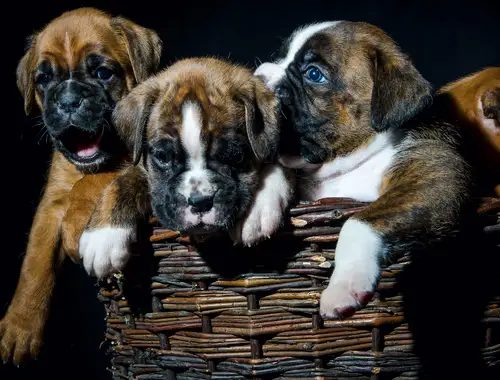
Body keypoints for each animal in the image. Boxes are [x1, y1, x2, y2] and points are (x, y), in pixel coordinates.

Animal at [0, 7, 160, 366]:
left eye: (102, 73)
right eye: (44, 80)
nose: (69, 100)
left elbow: (91, 182)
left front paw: (75, 230)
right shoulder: (50, 205)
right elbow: (34, 266)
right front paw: (21, 326)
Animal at [77, 57, 292, 270]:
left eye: (235, 155)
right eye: (163, 157)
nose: (200, 202)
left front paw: (258, 208)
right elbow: (123, 182)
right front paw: (104, 235)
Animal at [256, 20, 470, 318]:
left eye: (314, 74)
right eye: (280, 55)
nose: (256, 78)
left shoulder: (435, 178)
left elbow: (357, 222)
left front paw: (345, 283)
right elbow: (276, 168)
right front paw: (257, 210)